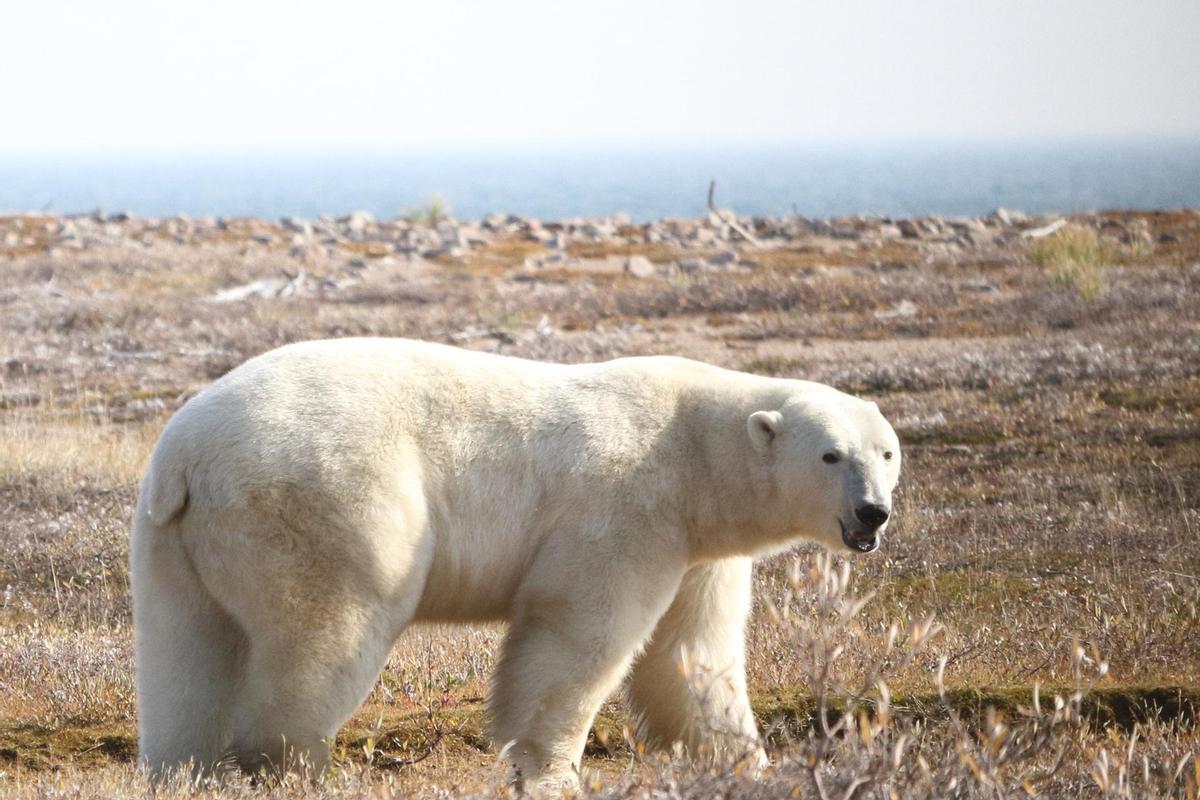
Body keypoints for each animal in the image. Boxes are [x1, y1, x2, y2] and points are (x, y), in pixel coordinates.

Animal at [133, 335, 902, 786]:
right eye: (831, 454)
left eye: (887, 452)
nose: (873, 512)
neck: (693, 451)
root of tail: (188, 456)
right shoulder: (626, 507)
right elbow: (579, 634)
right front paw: (549, 771)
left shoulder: (699, 547)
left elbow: (692, 654)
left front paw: (742, 760)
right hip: (324, 501)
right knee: (327, 630)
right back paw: (295, 764)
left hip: (174, 541)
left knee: (188, 652)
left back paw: (183, 768)